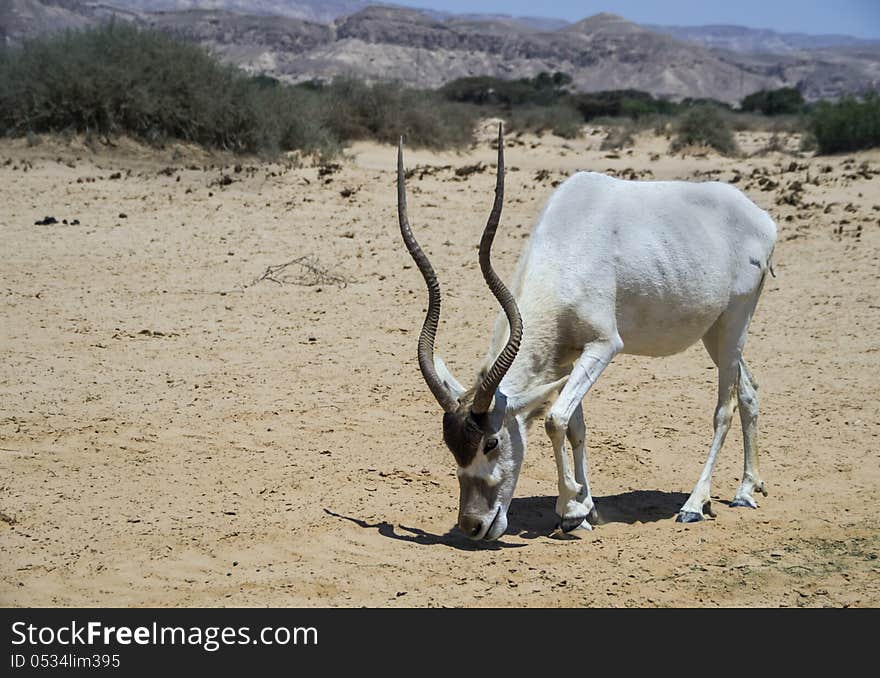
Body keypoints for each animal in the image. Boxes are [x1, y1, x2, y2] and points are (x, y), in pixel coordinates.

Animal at [398, 126, 776, 540]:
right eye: (451, 445)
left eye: (492, 442)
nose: (472, 525)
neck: (566, 245)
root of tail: (761, 219)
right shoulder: (569, 355)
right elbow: (575, 426)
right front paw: (584, 508)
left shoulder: (603, 345)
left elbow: (555, 419)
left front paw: (569, 511)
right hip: (716, 331)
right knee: (749, 389)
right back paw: (746, 490)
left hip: (735, 319)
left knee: (724, 409)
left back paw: (694, 504)